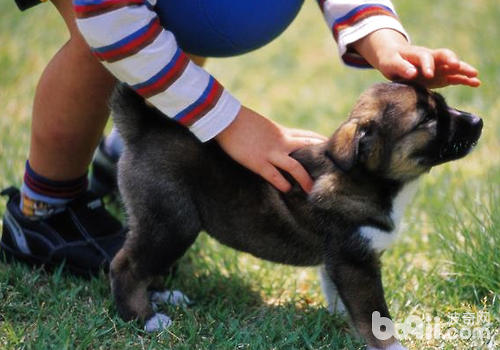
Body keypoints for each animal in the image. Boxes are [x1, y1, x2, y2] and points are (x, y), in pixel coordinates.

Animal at [108, 82, 480, 350]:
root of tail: (144, 127)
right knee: (125, 264)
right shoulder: (356, 261)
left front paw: (339, 319)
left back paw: (162, 296)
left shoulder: (340, 259)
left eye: (443, 103)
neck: (371, 181)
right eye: (428, 120)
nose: (478, 121)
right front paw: (391, 346)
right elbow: (376, 315)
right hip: (172, 222)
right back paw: (145, 319)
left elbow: (339, 295)